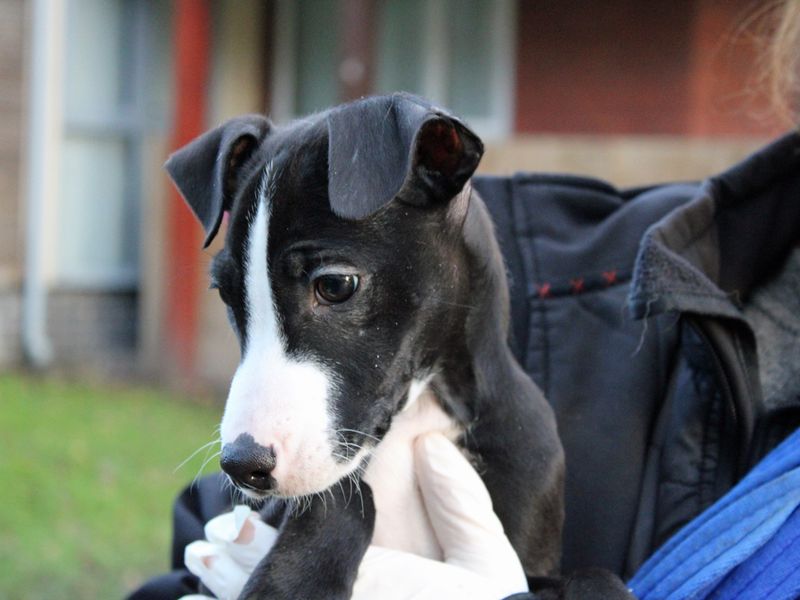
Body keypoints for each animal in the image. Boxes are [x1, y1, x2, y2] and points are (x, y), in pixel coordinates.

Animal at [168, 95, 564, 600]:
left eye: (335, 285)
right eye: (226, 294)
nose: (241, 466)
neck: (417, 420)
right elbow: (346, 499)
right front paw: (295, 584)